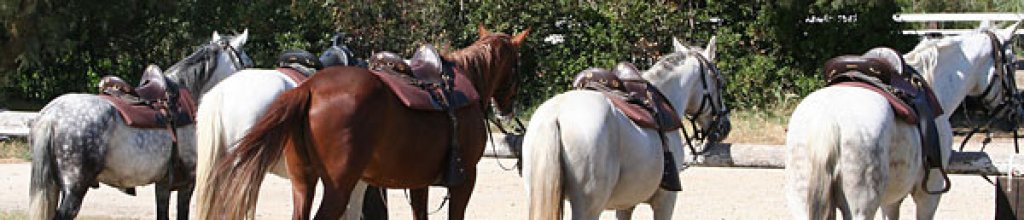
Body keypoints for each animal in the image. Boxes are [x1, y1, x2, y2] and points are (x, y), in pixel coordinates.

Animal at [28, 29, 251, 220]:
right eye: (247, 64)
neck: (190, 93)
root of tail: (51, 116)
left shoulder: (163, 184)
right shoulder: (187, 182)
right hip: (74, 189)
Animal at [204, 26, 532, 218]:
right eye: (517, 65)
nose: (506, 109)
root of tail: (307, 89)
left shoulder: (419, 182)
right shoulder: (466, 179)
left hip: (303, 182)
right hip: (336, 188)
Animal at [524, 36, 733, 218]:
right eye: (720, 82)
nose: (725, 127)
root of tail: (555, 115)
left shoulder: (626, 205)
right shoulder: (666, 200)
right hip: (588, 207)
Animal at [786, 21, 1019, 217]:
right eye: (1013, 63)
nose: (1016, 107)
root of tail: (826, 121)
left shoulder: (891, 201)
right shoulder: (930, 193)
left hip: (802, 204)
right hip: (859, 208)